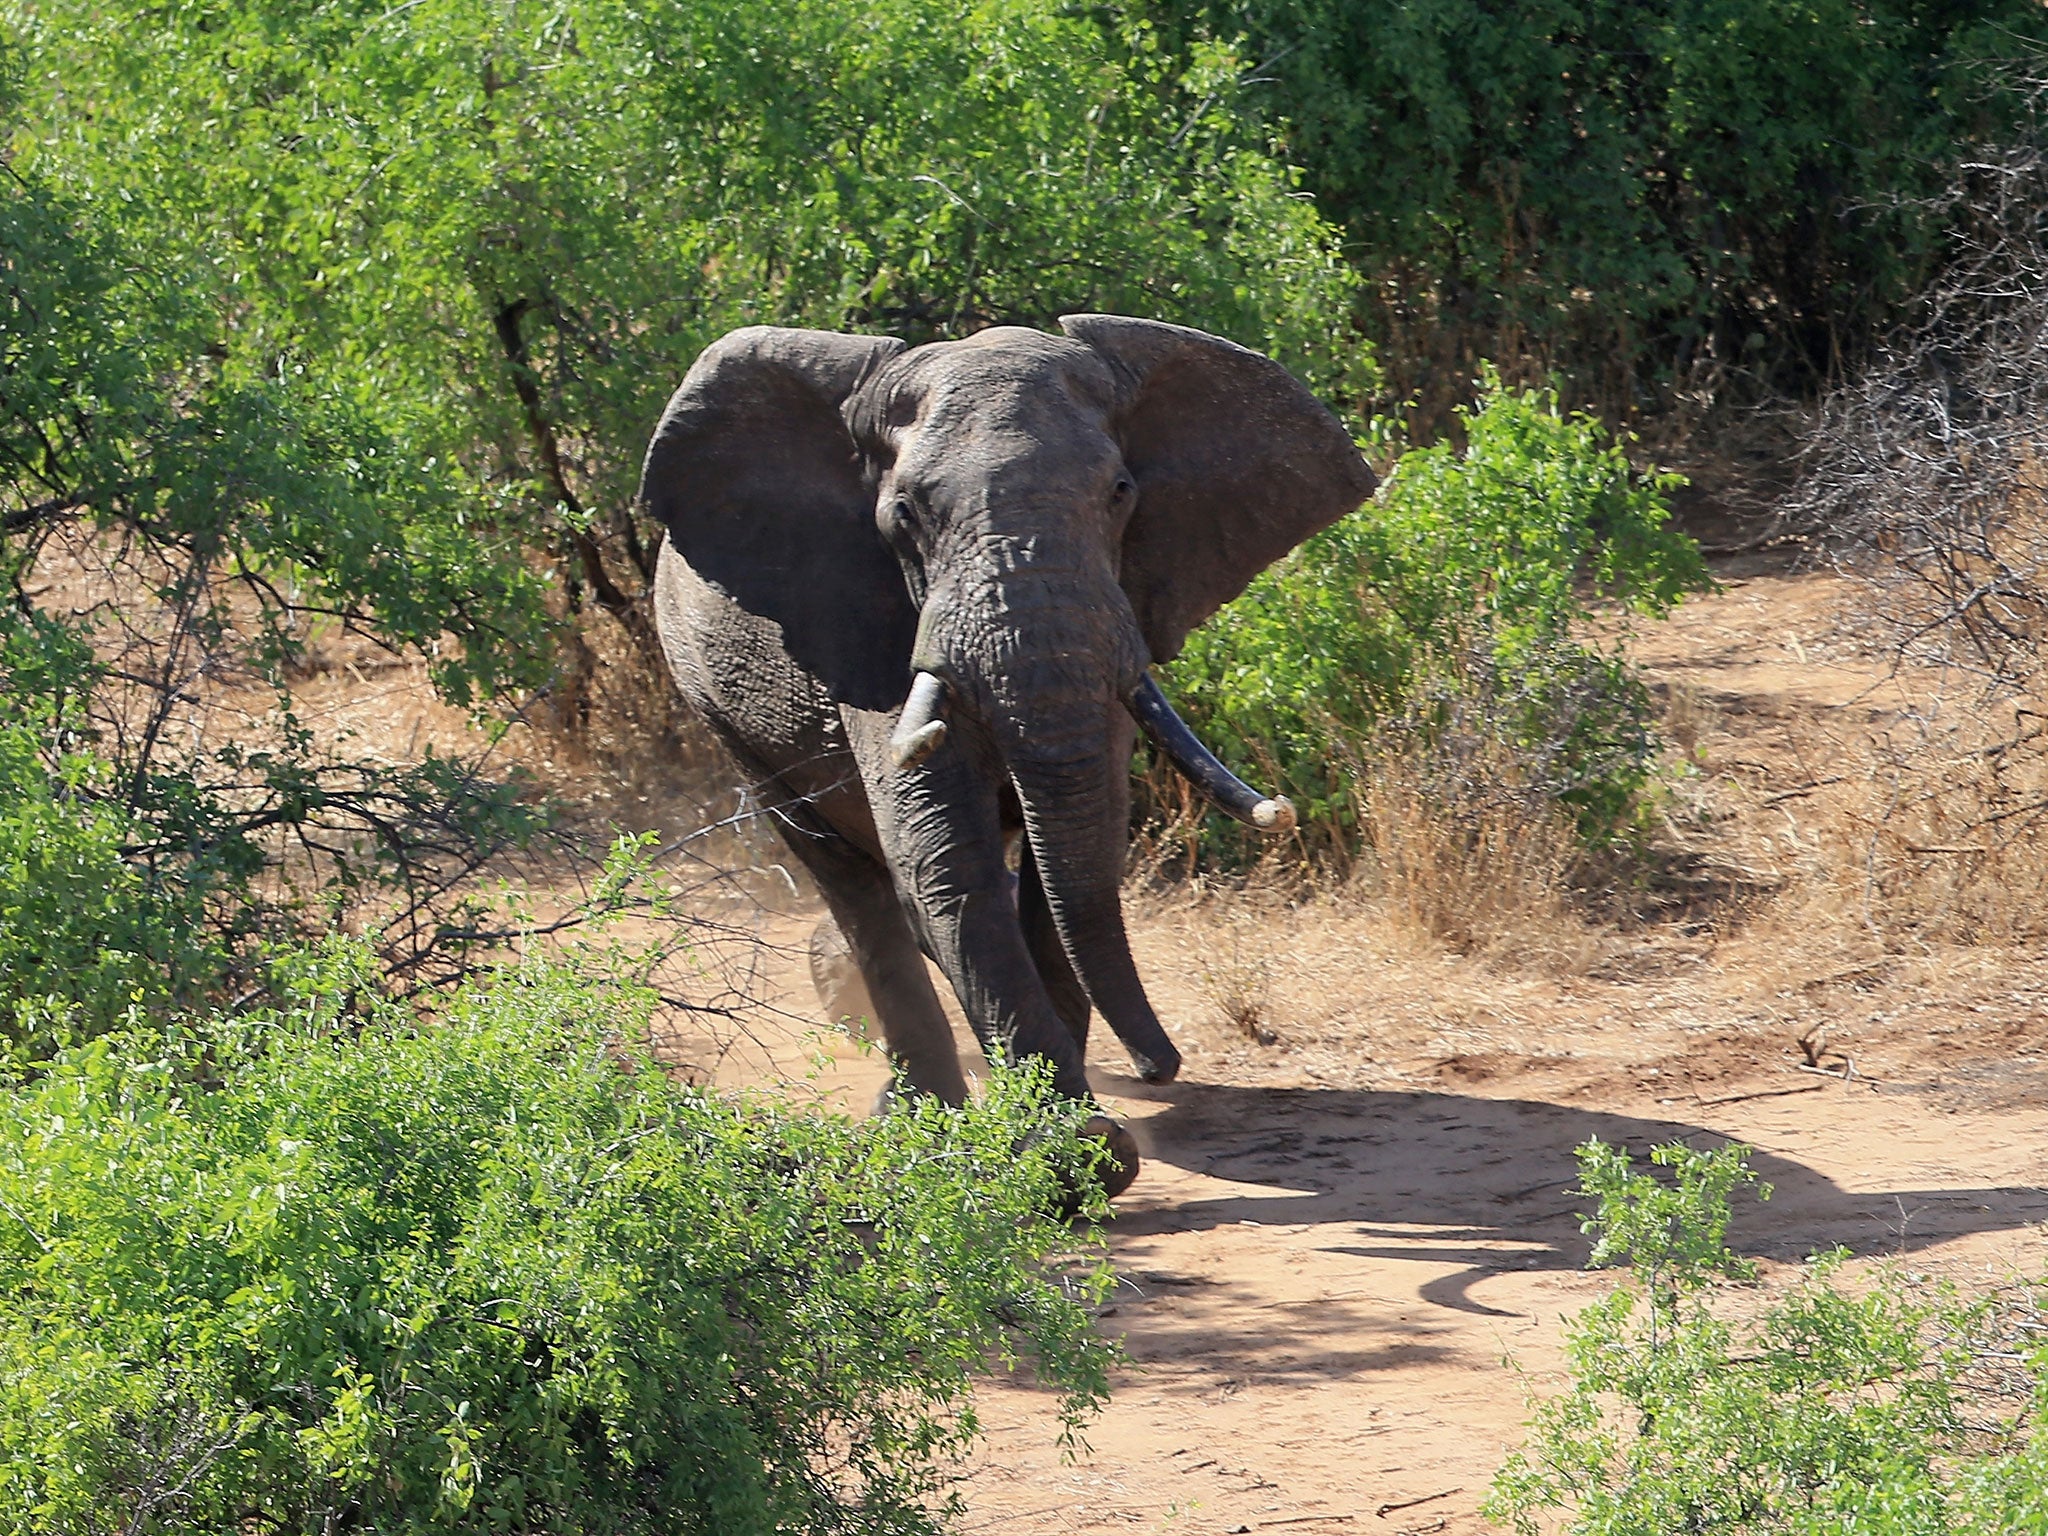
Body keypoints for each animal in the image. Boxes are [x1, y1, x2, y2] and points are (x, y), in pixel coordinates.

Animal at [638, 319, 1376, 1196]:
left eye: (1120, 492)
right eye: (905, 513)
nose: (1159, 1065)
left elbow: (1073, 856)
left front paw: (1064, 1130)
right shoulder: (868, 616)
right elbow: (944, 855)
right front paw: (1072, 1155)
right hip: (717, 708)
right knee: (849, 877)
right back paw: (914, 1110)